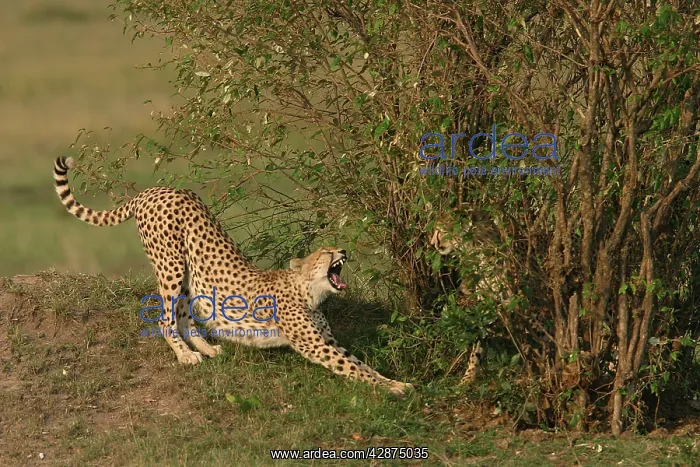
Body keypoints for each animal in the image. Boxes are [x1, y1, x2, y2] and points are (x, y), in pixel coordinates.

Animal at [53, 157, 412, 396]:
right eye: (325, 251)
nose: (343, 252)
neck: (308, 292)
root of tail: (157, 189)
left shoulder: (329, 340)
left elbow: (362, 364)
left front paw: (397, 382)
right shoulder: (315, 345)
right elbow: (352, 368)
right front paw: (393, 390)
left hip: (188, 272)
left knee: (183, 314)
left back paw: (206, 348)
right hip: (170, 264)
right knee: (165, 318)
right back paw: (186, 355)